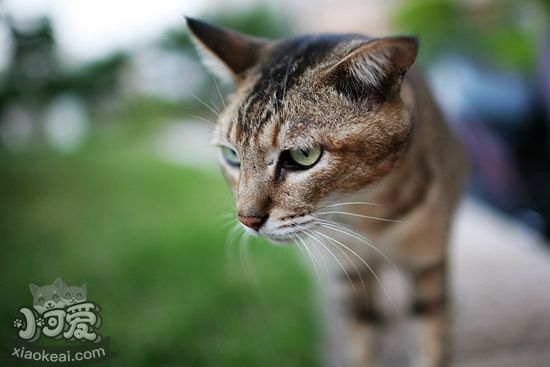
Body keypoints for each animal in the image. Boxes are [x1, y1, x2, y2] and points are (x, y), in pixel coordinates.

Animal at [188, 18, 468, 367]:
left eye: (303, 155)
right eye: (231, 156)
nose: (247, 220)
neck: (370, 216)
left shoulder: (427, 263)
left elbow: (430, 337)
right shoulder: (352, 273)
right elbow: (364, 340)